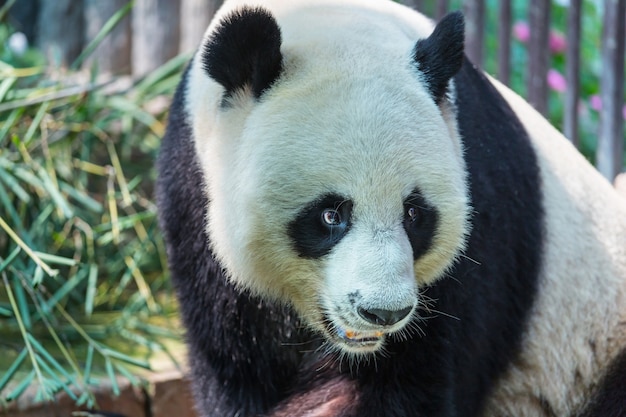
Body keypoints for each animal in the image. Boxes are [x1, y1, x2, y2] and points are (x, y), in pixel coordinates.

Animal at [155, 0, 624, 416]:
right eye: (330, 215)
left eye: (414, 214)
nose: (384, 312)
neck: (334, 19)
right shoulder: (194, 195)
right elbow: (235, 365)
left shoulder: (477, 224)